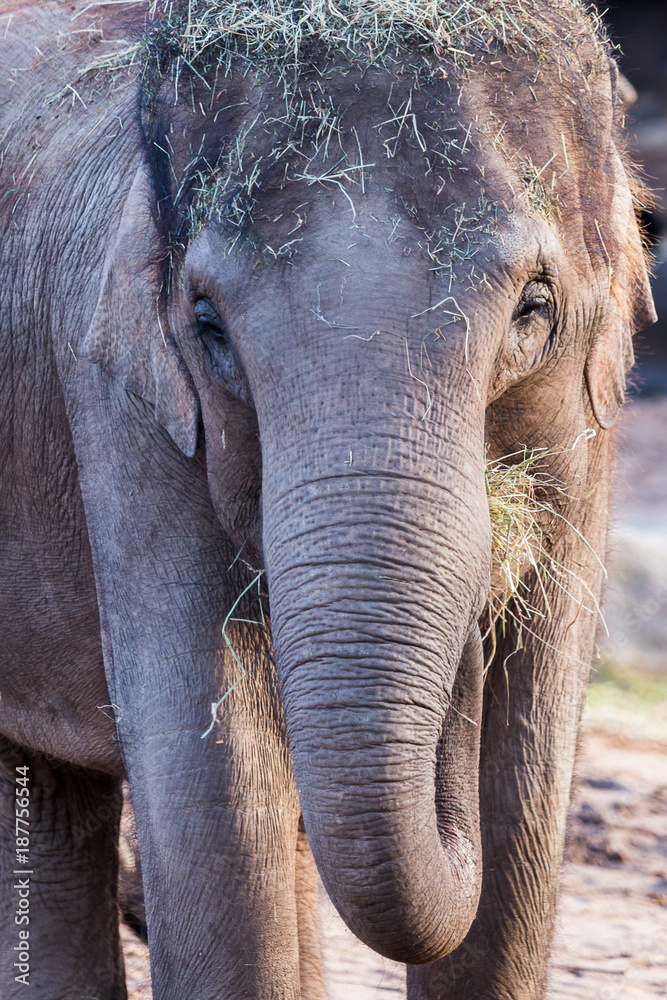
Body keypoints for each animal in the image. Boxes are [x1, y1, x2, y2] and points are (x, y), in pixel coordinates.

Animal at [0, 0, 656, 997]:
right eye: (206, 323)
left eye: (534, 306)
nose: (469, 643)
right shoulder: (123, 408)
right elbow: (222, 802)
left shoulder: (587, 440)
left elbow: (522, 800)